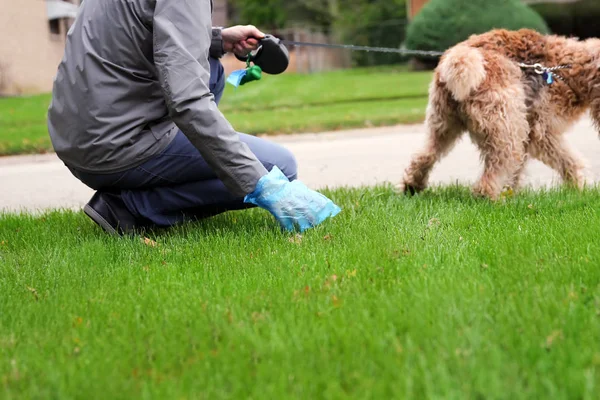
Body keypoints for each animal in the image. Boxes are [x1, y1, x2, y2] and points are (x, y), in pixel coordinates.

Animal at [400, 28, 596, 200]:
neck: (569, 69)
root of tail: (459, 56)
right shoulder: (542, 131)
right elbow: (567, 159)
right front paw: (579, 187)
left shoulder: (532, 134)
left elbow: (520, 169)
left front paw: (512, 191)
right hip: (507, 126)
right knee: (494, 170)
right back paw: (490, 198)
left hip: (444, 124)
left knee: (425, 155)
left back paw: (411, 186)